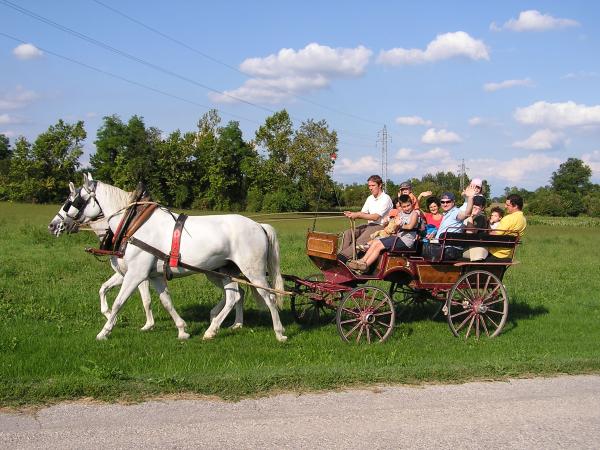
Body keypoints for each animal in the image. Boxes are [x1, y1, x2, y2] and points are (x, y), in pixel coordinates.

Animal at [50, 175, 288, 342]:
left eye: (71, 200)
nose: (53, 225)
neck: (133, 224)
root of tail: (259, 226)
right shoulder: (154, 275)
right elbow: (165, 301)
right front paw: (182, 330)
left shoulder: (135, 274)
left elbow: (120, 301)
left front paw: (105, 330)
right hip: (225, 271)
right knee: (233, 297)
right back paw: (213, 329)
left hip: (253, 272)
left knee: (269, 297)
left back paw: (279, 332)